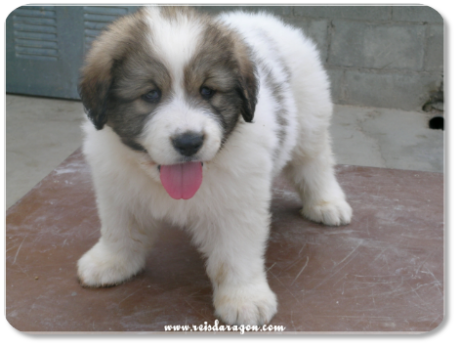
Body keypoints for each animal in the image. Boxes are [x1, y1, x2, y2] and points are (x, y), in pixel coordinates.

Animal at [78, 6, 352, 326]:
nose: (188, 141)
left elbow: (235, 251)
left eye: (207, 91)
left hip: (310, 120)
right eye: (151, 94)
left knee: (315, 162)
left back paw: (327, 203)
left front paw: (245, 298)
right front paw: (111, 261)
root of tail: (266, 19)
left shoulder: (238, 201)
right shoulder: (117, 187)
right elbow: (120, 228)